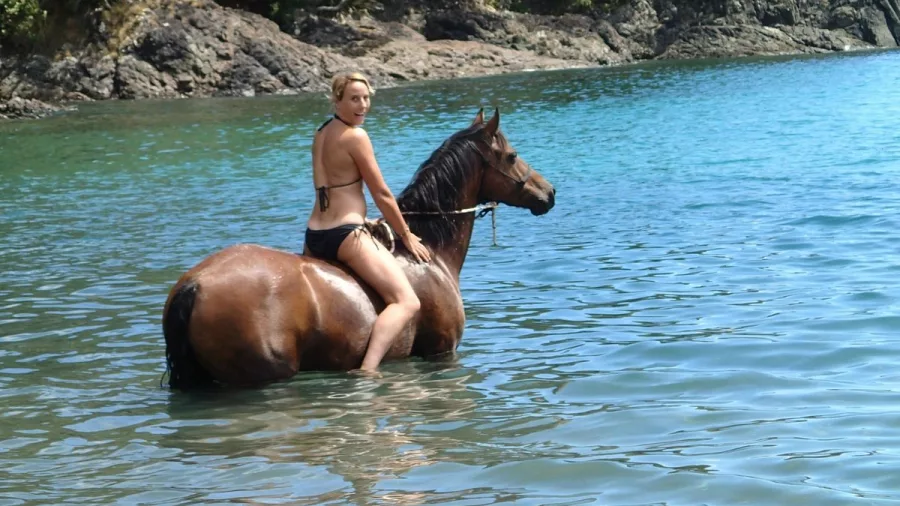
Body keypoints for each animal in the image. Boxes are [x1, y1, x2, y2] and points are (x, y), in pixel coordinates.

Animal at [161, 108, 556, 390]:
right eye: (512, 155)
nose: (549, 192)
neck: (431, 251)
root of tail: (194, 285)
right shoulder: (442, 351)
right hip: (266, 376)